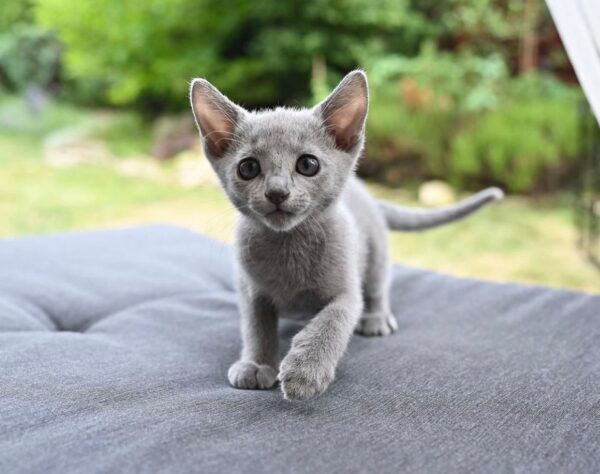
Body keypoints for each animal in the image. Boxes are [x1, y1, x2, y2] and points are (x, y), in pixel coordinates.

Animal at [189, 70, 502, 402]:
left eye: (308, 164)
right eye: (248, 167)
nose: (277, 192)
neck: (288, 246)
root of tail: (368, 195)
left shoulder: (347, 292)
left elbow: (332, 321)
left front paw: (305, 371)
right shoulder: (250, 290)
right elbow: (256, 328)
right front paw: (257, 364)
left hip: (376, 252)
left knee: (377, 287)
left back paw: (377, 319)